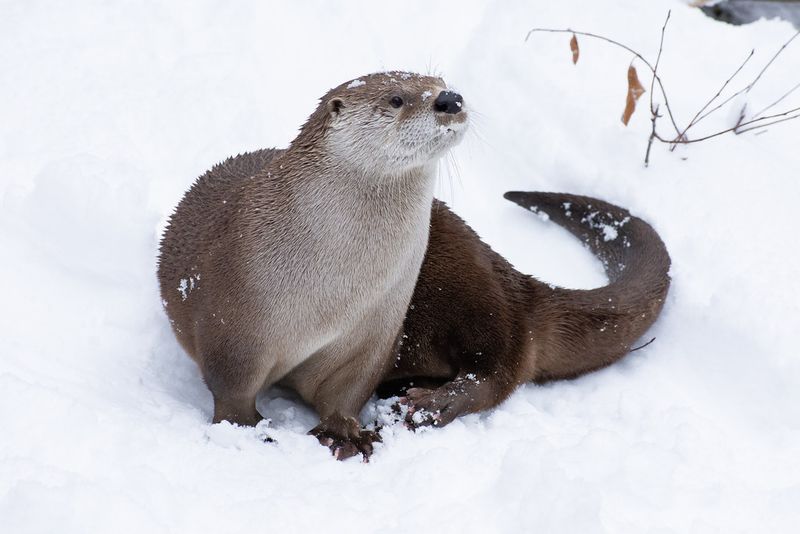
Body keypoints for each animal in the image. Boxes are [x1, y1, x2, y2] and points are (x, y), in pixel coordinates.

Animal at [157, 72, 468, 460]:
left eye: (441, 81)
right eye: (396, 99)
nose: (450, 99)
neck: (334, 290)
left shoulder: (374, 330)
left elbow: (348, 391)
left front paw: (343, 432)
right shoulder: (233, 320)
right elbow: (232, 388)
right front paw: (246, 429)